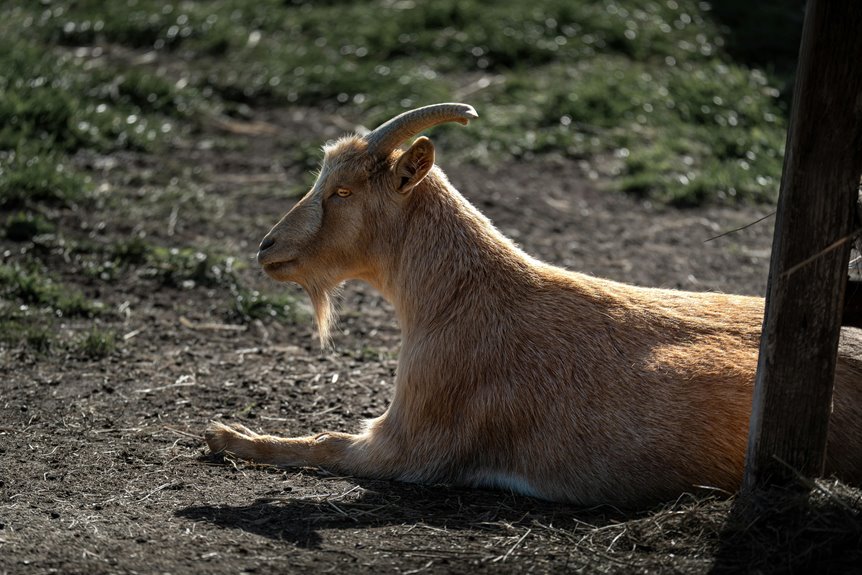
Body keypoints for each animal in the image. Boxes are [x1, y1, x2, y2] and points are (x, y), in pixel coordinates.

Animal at [206, 103, 862, 507]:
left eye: (341, 191)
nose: (267, 247)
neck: (461, 295)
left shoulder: (409, 445)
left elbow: (325, 443)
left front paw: (225, 435)